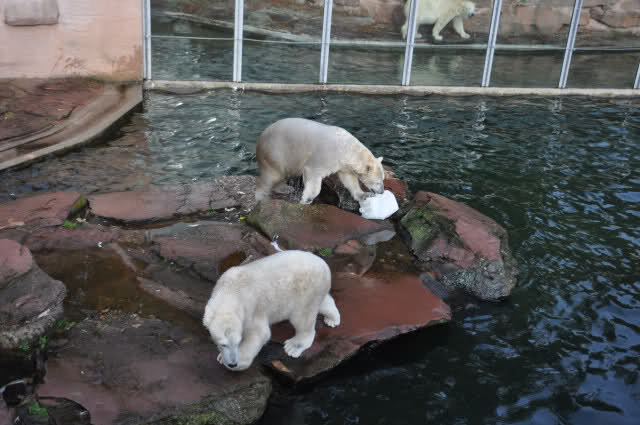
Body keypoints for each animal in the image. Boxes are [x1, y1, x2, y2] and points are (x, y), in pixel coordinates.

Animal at [202, 250, 341, 371]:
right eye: (223, 344)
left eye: (238, 342)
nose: (232, 363)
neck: (230, 291)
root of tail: (324, 264)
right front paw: (222, 358)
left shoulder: (250, 310)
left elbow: (260, 333)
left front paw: (238, 362)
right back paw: (332, 319)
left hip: (306, 289)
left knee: (302, 318)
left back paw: (293, 346)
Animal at [255, 117, 385, 205]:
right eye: (378, 182)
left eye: (382, 179)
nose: (382, 192)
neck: (346, 147)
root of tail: (262, 136)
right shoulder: (326, 156)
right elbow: (313, 173)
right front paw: (307, 199)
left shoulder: (343, 164)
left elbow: (349, 179)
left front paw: (364, 195)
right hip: (276, 152)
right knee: (272, 175)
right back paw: (261, 197)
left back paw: (285, 188)